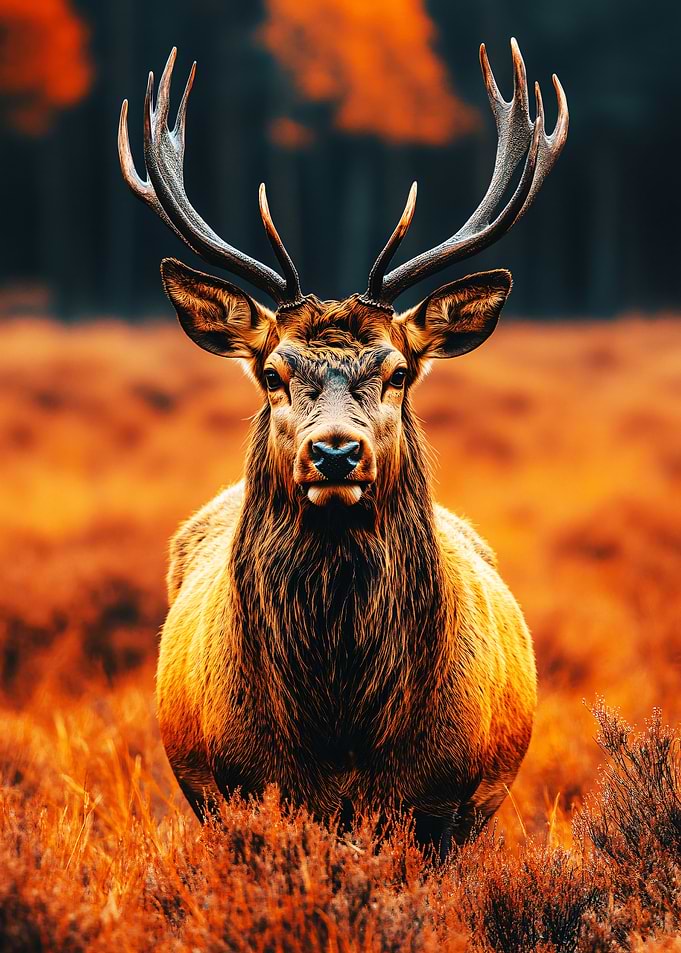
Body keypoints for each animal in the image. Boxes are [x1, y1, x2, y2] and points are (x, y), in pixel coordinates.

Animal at [119, 39, 568, 856]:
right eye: (272, 371)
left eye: (397, 371)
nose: (334, 453)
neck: (341, 733)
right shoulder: (236, 788)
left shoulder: (443, 803)